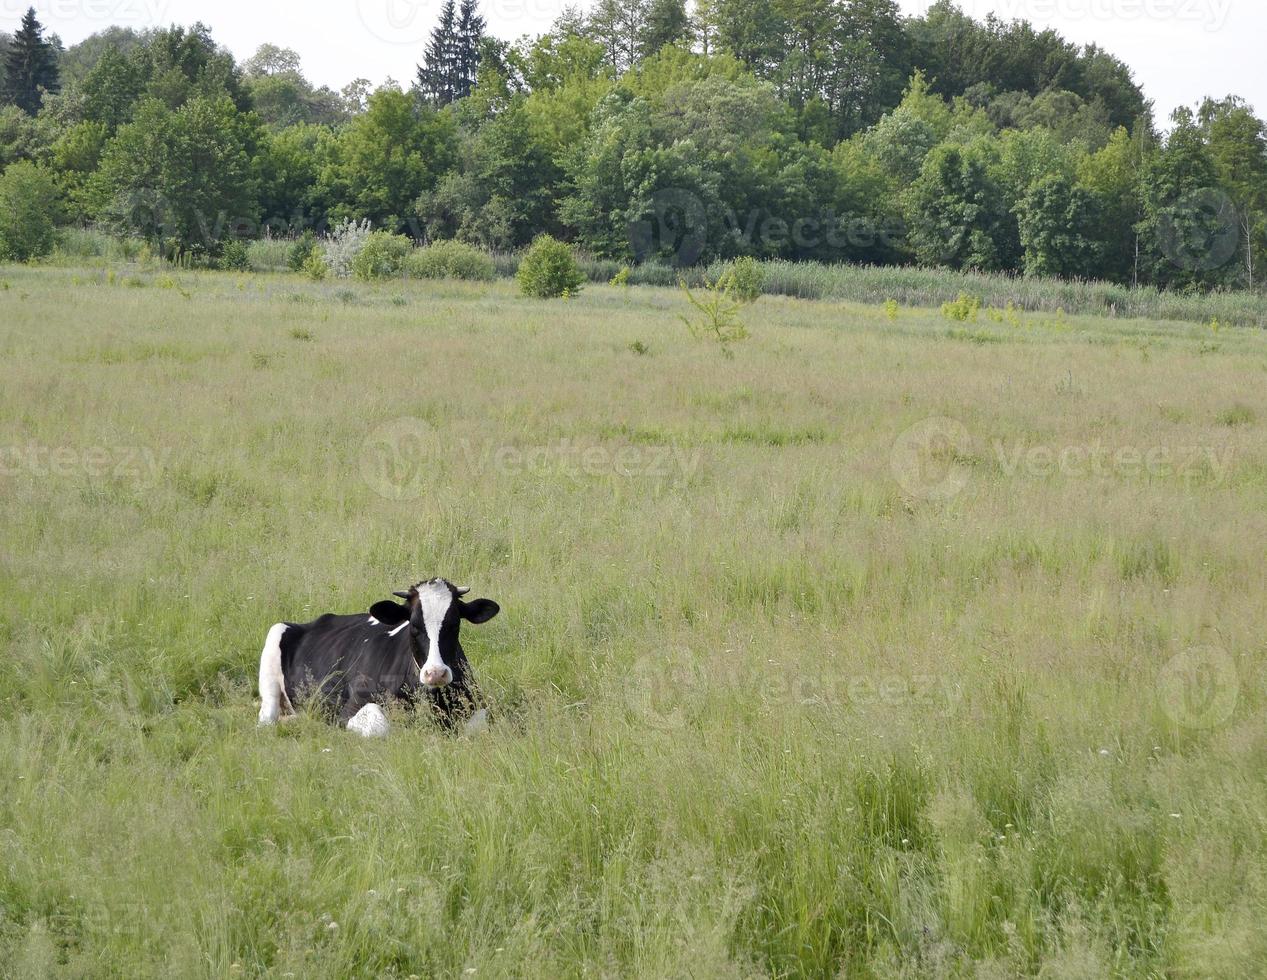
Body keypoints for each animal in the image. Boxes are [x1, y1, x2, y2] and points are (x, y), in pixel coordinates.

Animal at [257, 573, 499, 735]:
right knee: (267, 716)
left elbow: (478, 726)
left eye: (454, 624)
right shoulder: (350, 708)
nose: (436, 673)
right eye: (414, 625)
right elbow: (380, 726)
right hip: (274, 637)